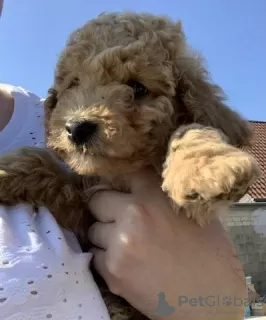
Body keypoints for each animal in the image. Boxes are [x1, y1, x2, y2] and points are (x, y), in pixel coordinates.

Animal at [0, 11, 260, 320]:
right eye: (74, 83)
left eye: (138, 87)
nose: (77, 128)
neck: (122, 169)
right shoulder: (86, 210)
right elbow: (50, 172)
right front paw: (6, 171)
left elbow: (190, 130)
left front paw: (210, 169)